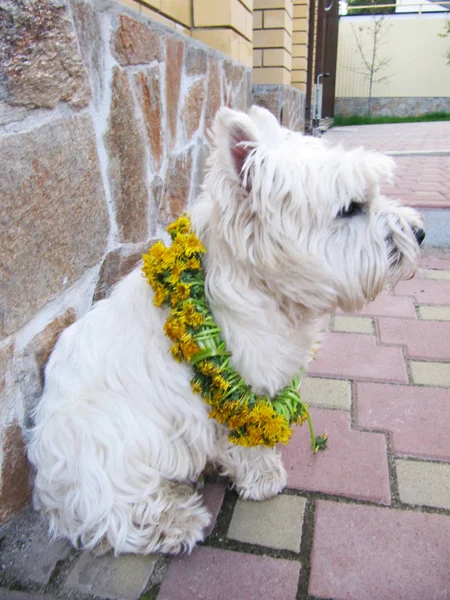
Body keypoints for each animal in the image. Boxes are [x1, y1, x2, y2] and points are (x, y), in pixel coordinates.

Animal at [27, 106, 422, 552]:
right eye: (350, 208)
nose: (421, 232)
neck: (259, 284)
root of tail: (47, 485)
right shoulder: (238, 390)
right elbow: (248, 439)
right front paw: (264, 476)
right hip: (107, 439)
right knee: (119, 511)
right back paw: (177, 520)